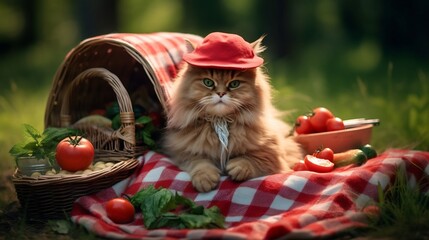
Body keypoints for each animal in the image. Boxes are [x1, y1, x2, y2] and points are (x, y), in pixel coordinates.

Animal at [162, 32, 302, 193]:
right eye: (208, 82)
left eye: (234, 84)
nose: (221, 93)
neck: (221, 121)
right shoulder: (182, 151)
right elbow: (199, 162)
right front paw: (205, 180)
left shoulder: (273, 153)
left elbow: (251, 159)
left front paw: (238, 168)